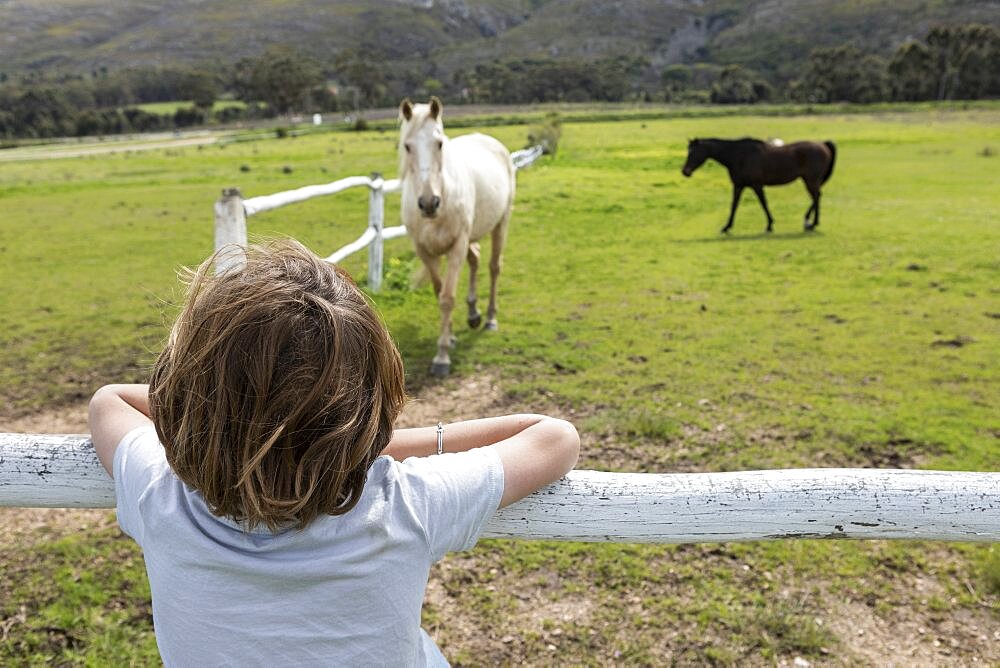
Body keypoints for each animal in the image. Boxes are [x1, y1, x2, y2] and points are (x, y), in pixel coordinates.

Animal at [398, 95, 516, 376]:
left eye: (439, 143)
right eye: (407, 146)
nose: (429, 203)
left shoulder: (456, 246)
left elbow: (447, 298)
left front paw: (441, 357)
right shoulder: (424, 251)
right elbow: (438, 291)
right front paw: (450, 337)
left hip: (501, 223)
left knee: (494, 267)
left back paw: (490, 318)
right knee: (475, 259)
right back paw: (473, 314)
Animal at [680, 137, 836, 234]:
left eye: (693, 152)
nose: (685, 171)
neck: (738, 155)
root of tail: (823, 145)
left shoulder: (757, 185)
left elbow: (763, 204)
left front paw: (769, 225)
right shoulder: (739, 186)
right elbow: (734, 206)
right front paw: (726, 227)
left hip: (810, 180)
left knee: (816, 197)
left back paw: (811, 223)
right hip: (810, 180)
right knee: (816, 197)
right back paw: (811, 222)